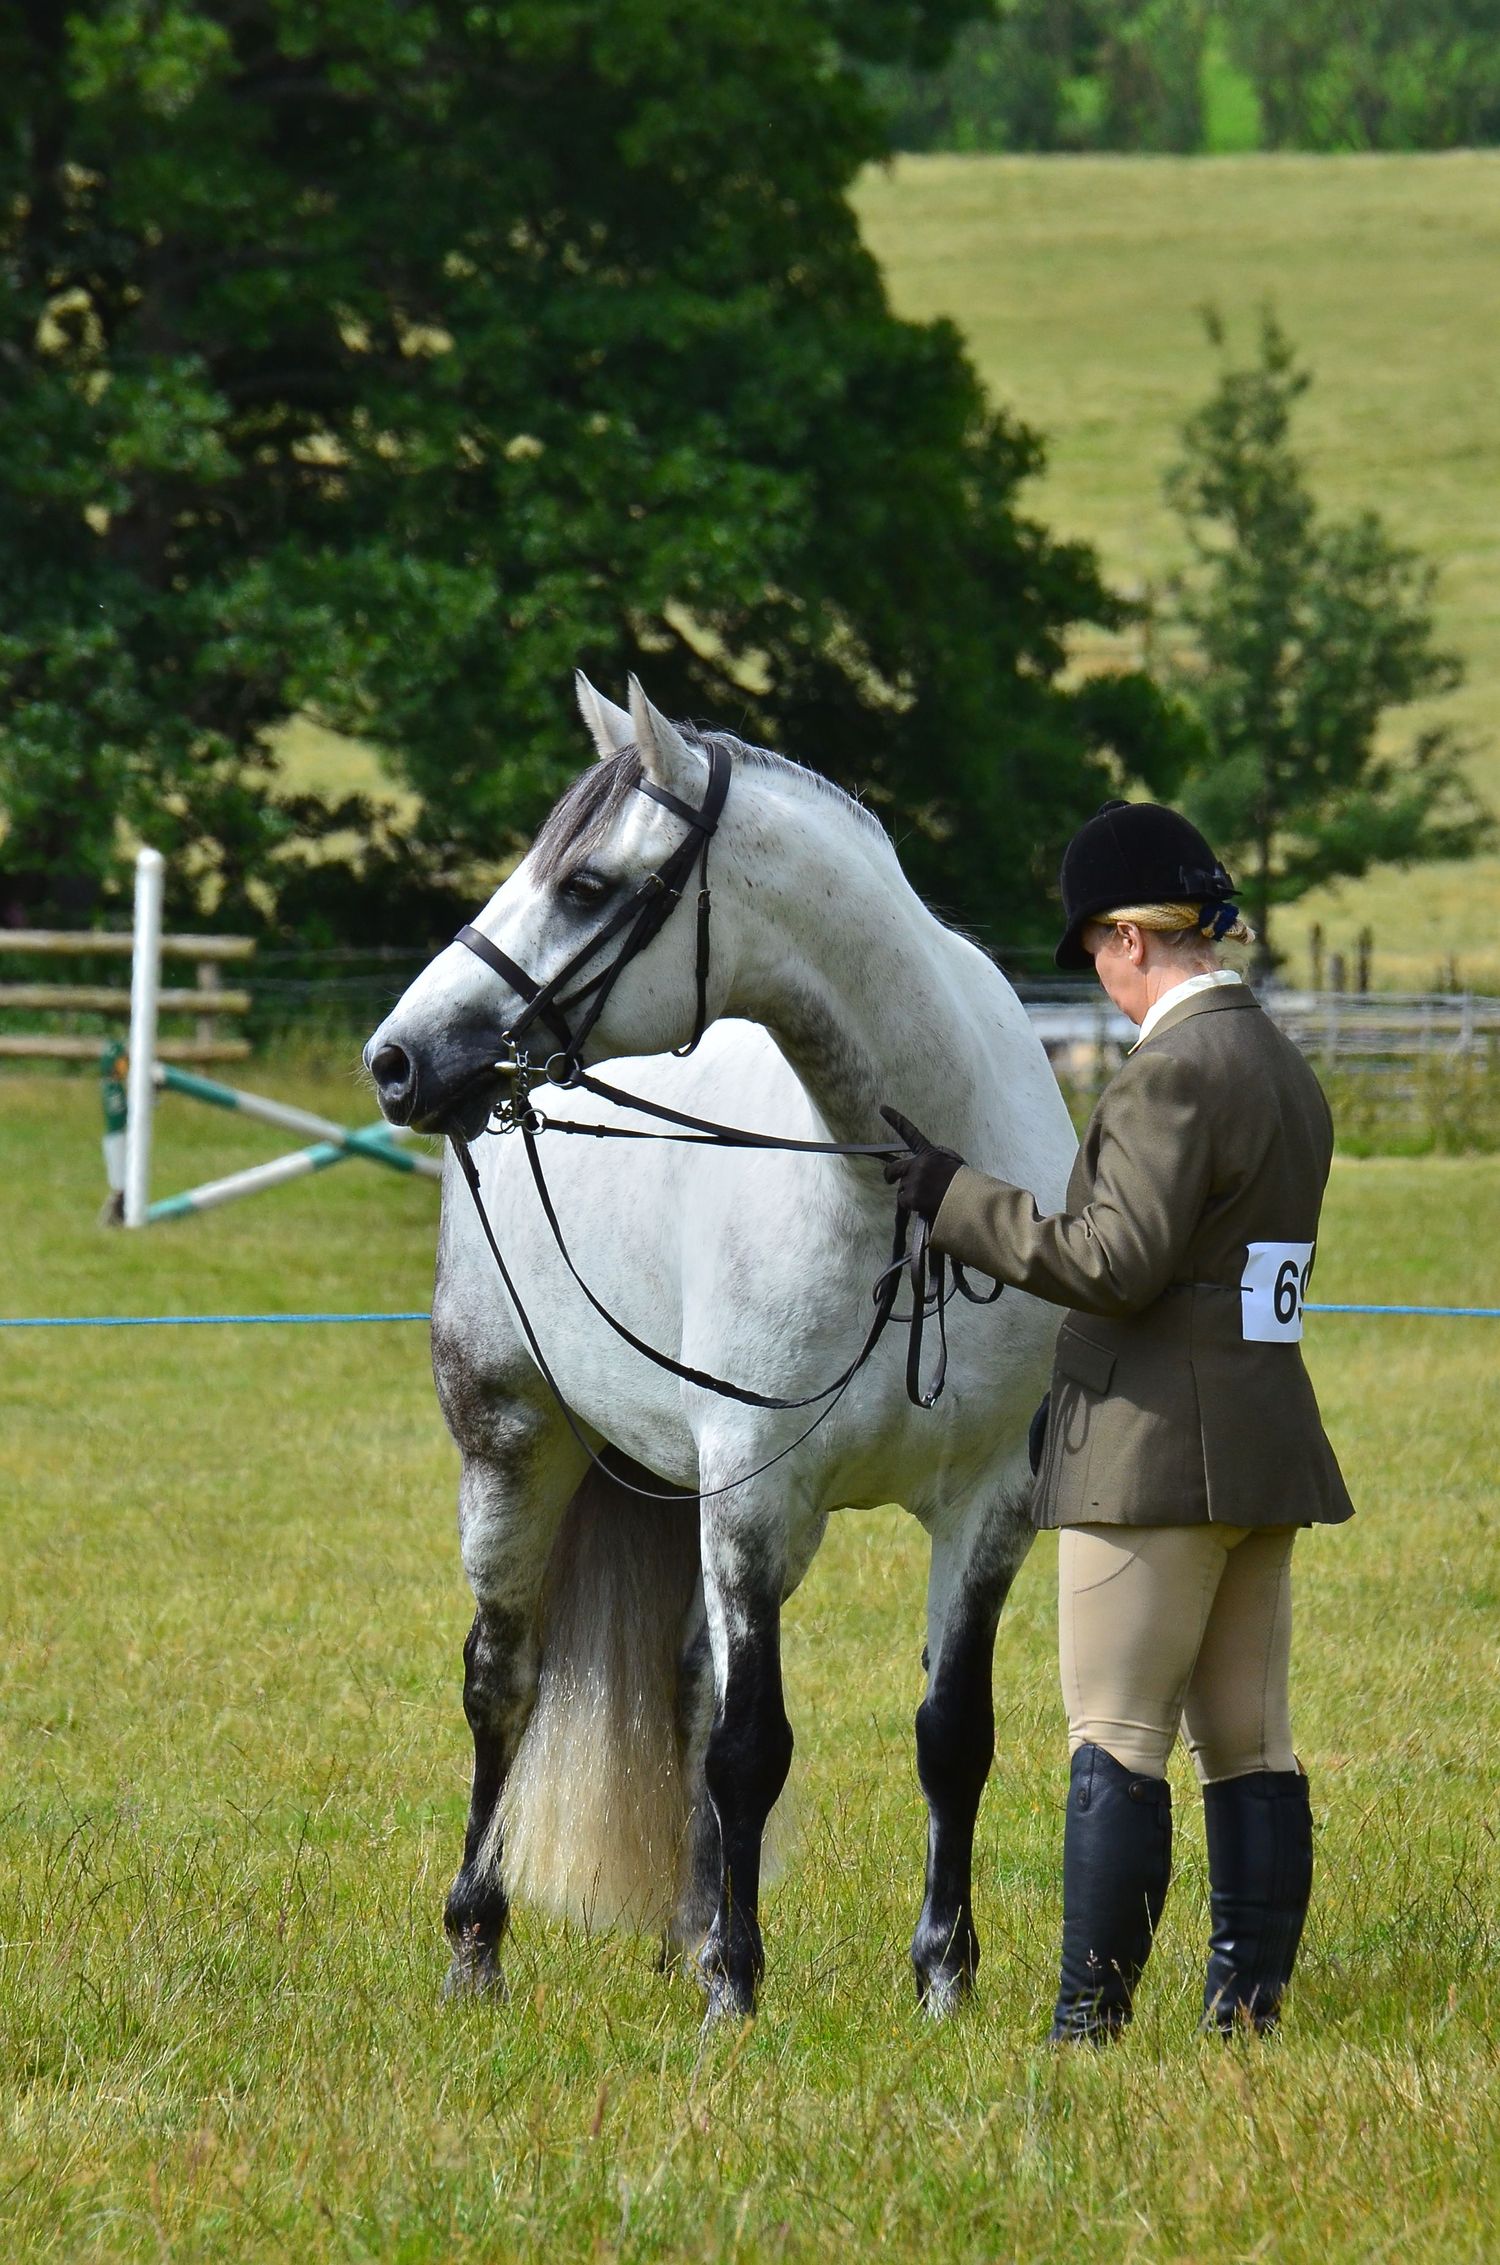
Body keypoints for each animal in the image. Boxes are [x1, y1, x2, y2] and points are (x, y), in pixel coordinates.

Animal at [365, 674, 1075, 2023]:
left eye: (586, 884)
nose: (397, 1059)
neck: (902, 1200)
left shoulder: (988, 1509)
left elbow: (951, 1737)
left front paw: (942, 1981)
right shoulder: (755, 1504)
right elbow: (753, 1749)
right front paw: (737, 1994)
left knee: (687, 1686)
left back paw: (687, 1928)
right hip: (512, 1448)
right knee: (503, 1681)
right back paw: (478, 1945)